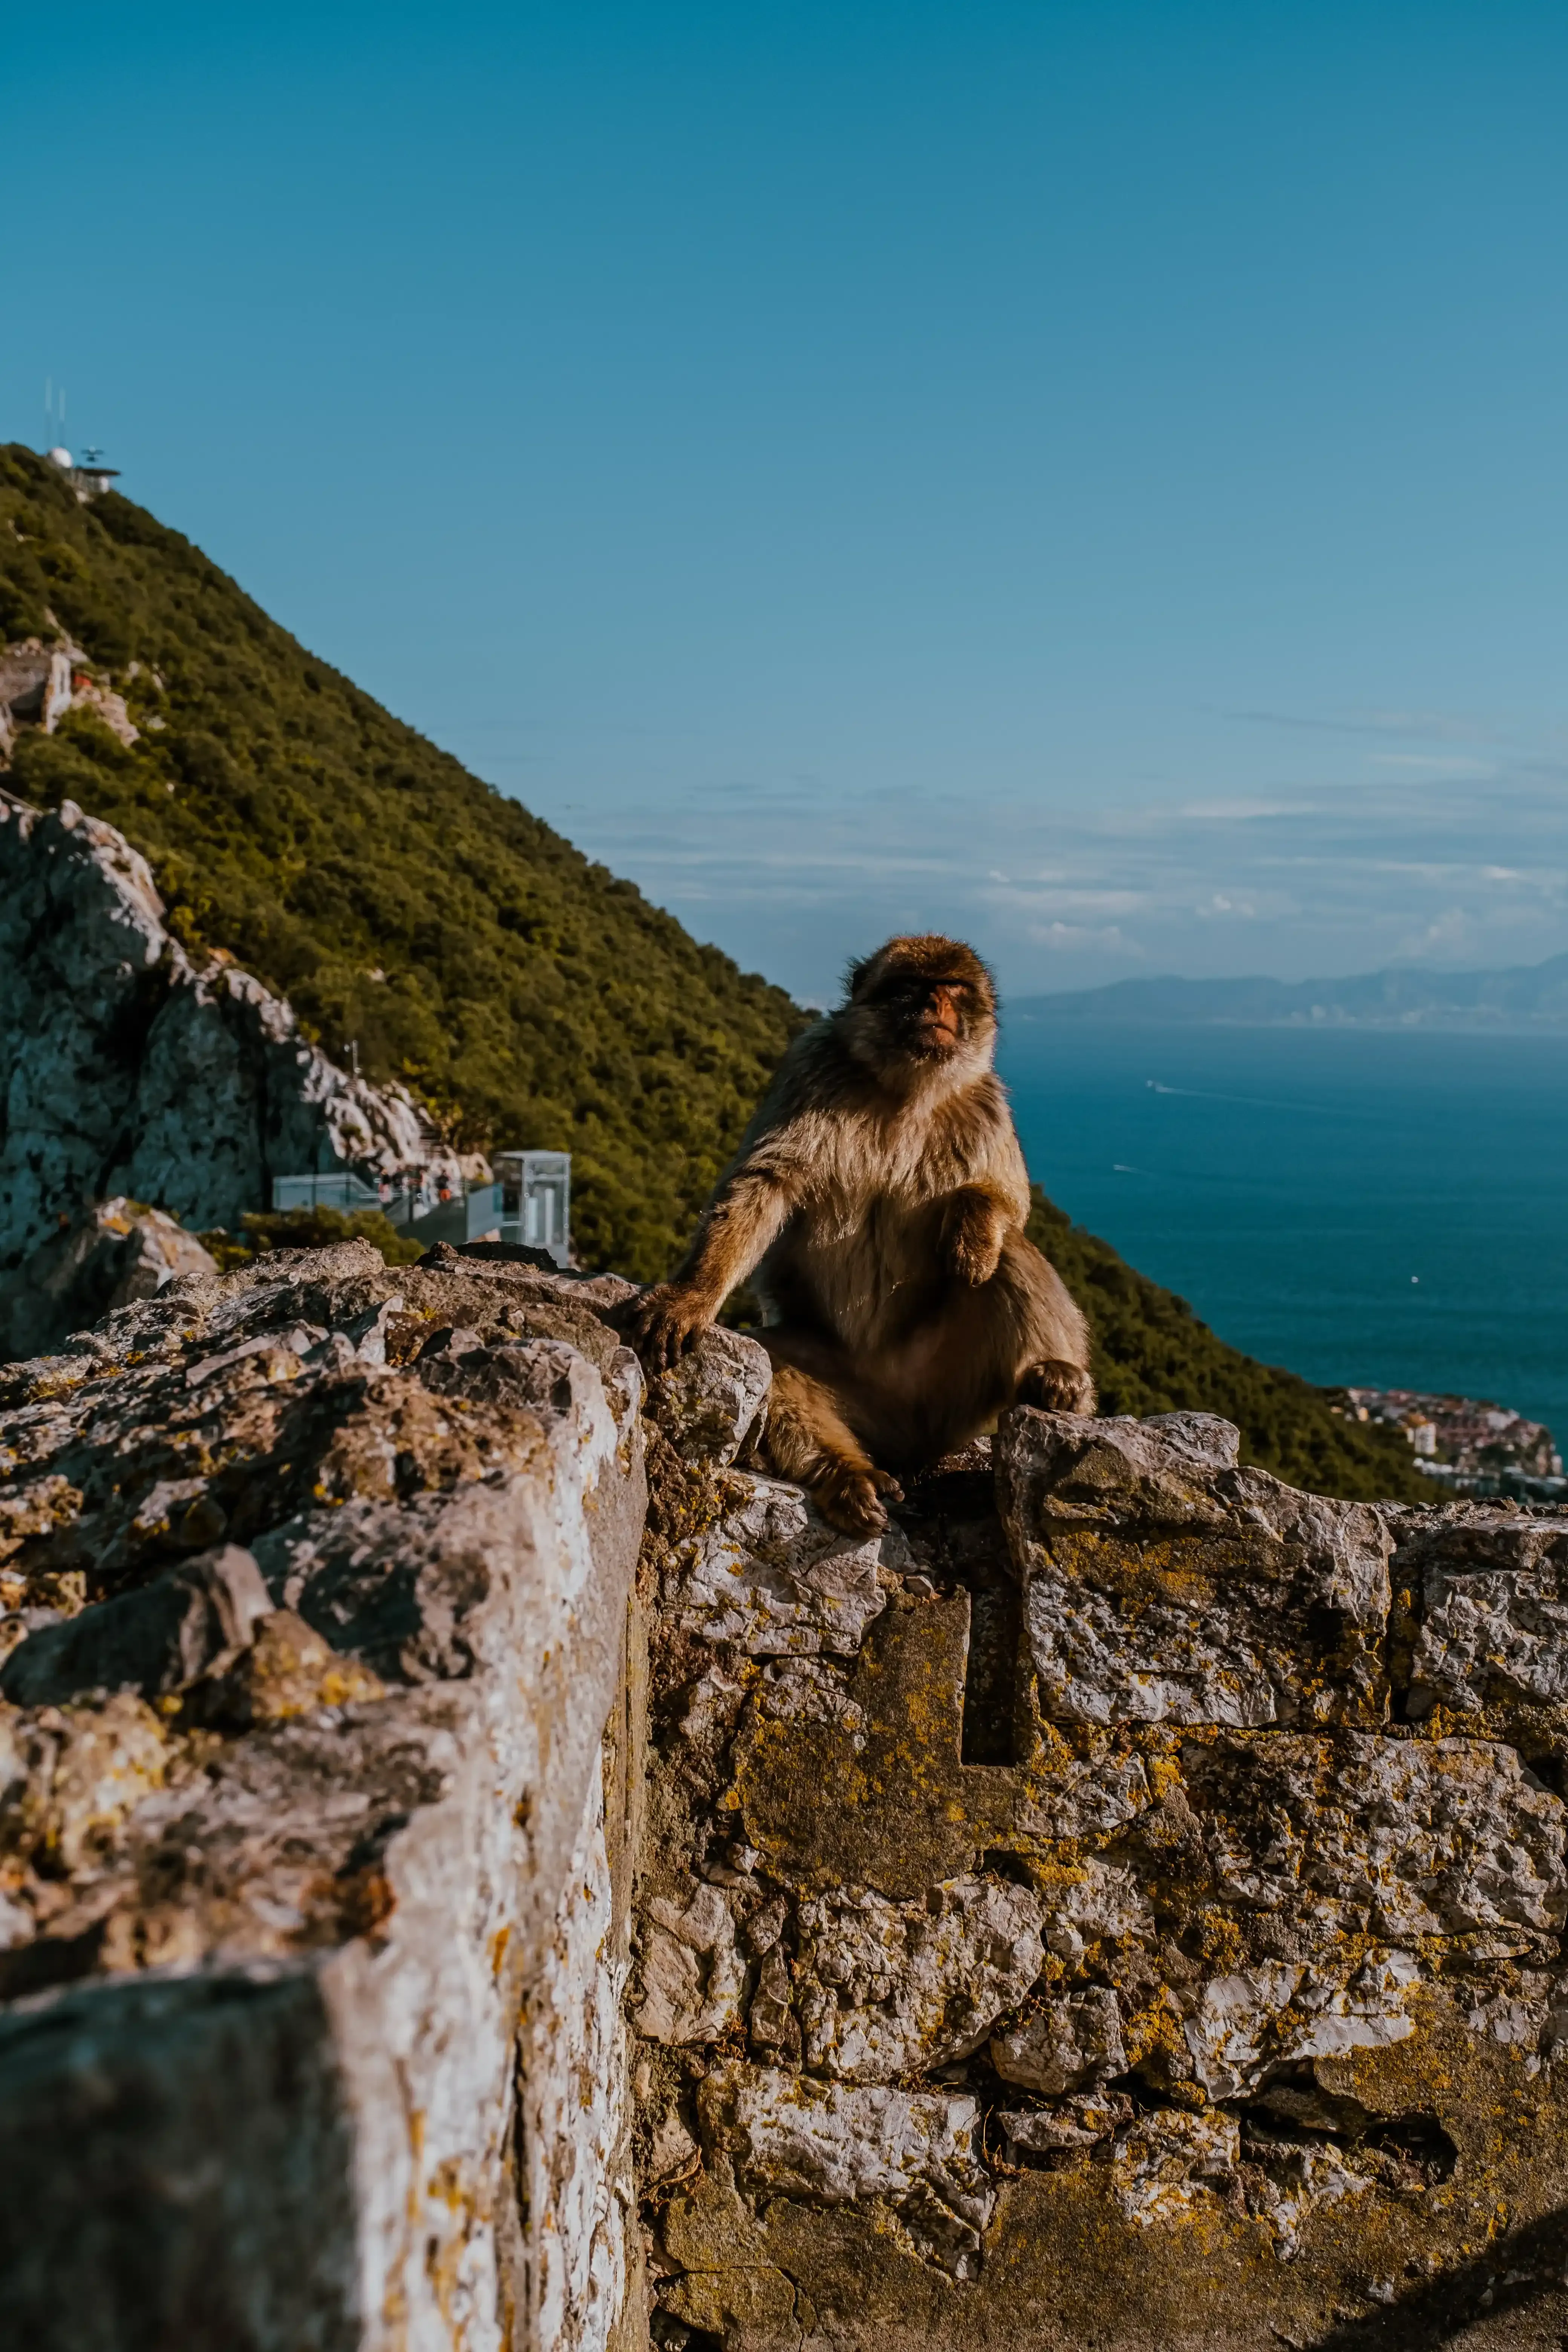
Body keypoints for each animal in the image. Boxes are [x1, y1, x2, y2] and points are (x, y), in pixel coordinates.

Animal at [628, 932, 1095, 1534]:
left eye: (952, 989)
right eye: (913, 987)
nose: (934, 1006)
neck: (905, 1090)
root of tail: (909, 1430)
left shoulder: (987, 1104)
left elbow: (1011, 1203)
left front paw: (970, 1229)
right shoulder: (813, 1068)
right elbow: (765, 1183)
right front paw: (691, 1296)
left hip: (954, 1395)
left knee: (1009, 1254)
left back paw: (1054, 1375)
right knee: (776, 1364)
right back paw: (847, 1474)